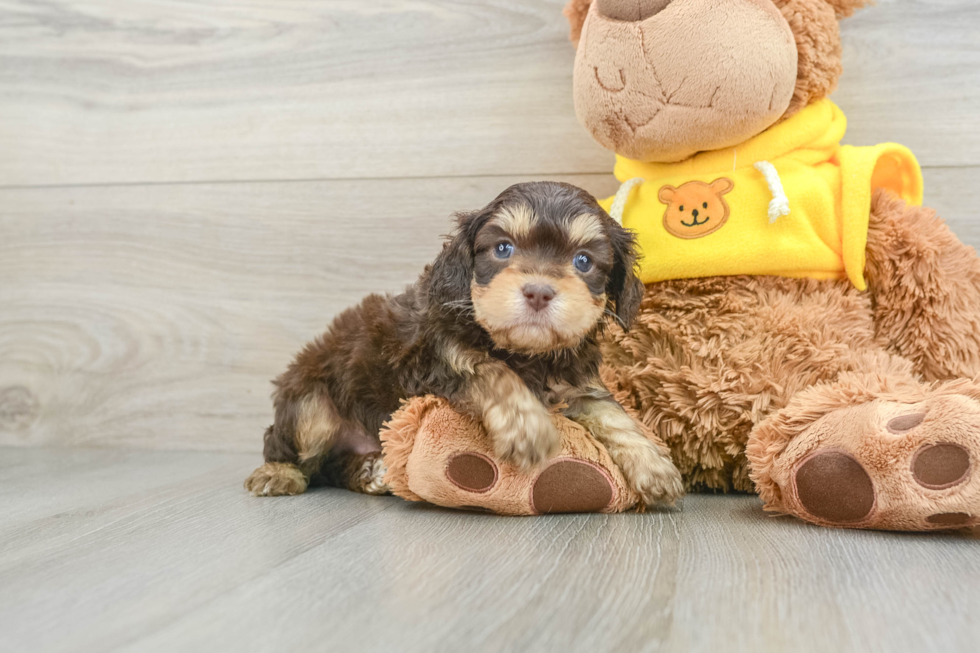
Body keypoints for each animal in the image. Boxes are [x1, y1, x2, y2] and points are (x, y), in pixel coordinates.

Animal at [243, 181, 680, 506]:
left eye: (584, 261)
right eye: (503, 248)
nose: (538, 292)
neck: (525, 354)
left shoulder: (576, 381)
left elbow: (612, 413)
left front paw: (653, 464)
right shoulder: (433, 358)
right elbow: (491, 372)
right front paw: (527, 428)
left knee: (332, 466)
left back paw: (371, 471)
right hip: (310, 402)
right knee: (292, 445)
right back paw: (277, 473)